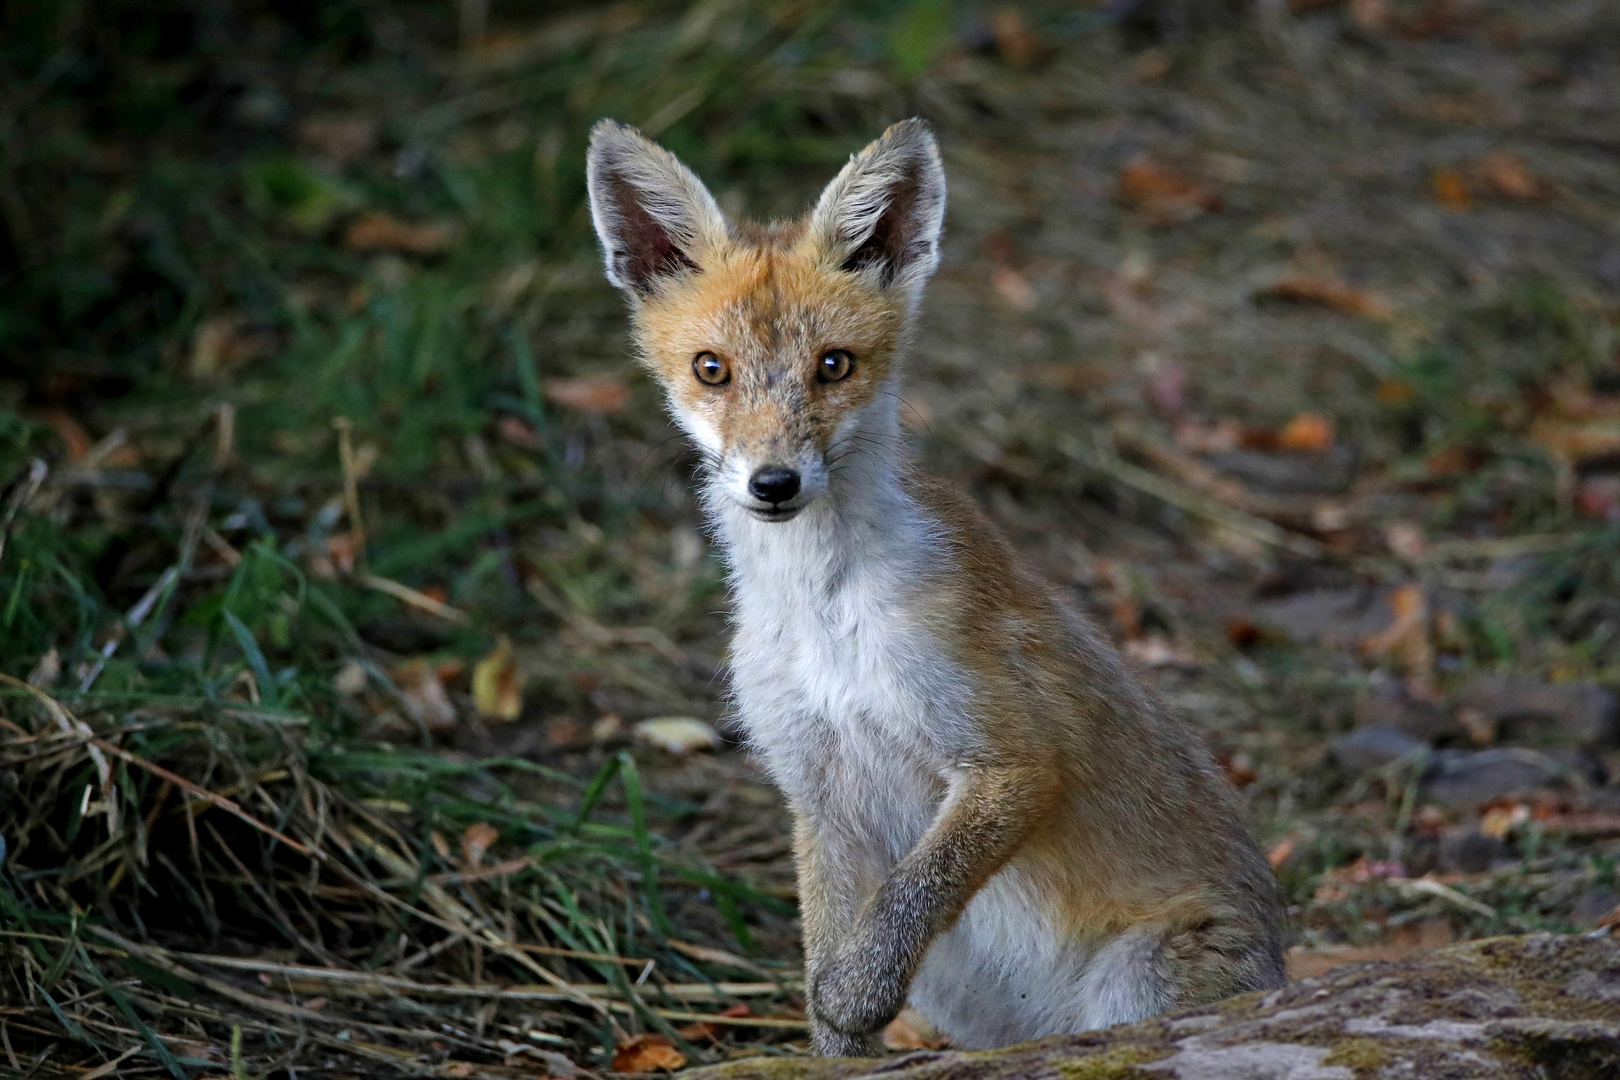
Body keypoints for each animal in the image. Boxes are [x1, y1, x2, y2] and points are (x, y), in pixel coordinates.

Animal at [589, 118, 1283, 1055]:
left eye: (834, 366)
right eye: (711, 369)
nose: (774, 483)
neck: (824, 617)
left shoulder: (1014, 757)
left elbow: (906, 901)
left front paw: (854, 996)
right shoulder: (818, 792)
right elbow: (830, 963)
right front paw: (836, 1043)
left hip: (1135, 986)